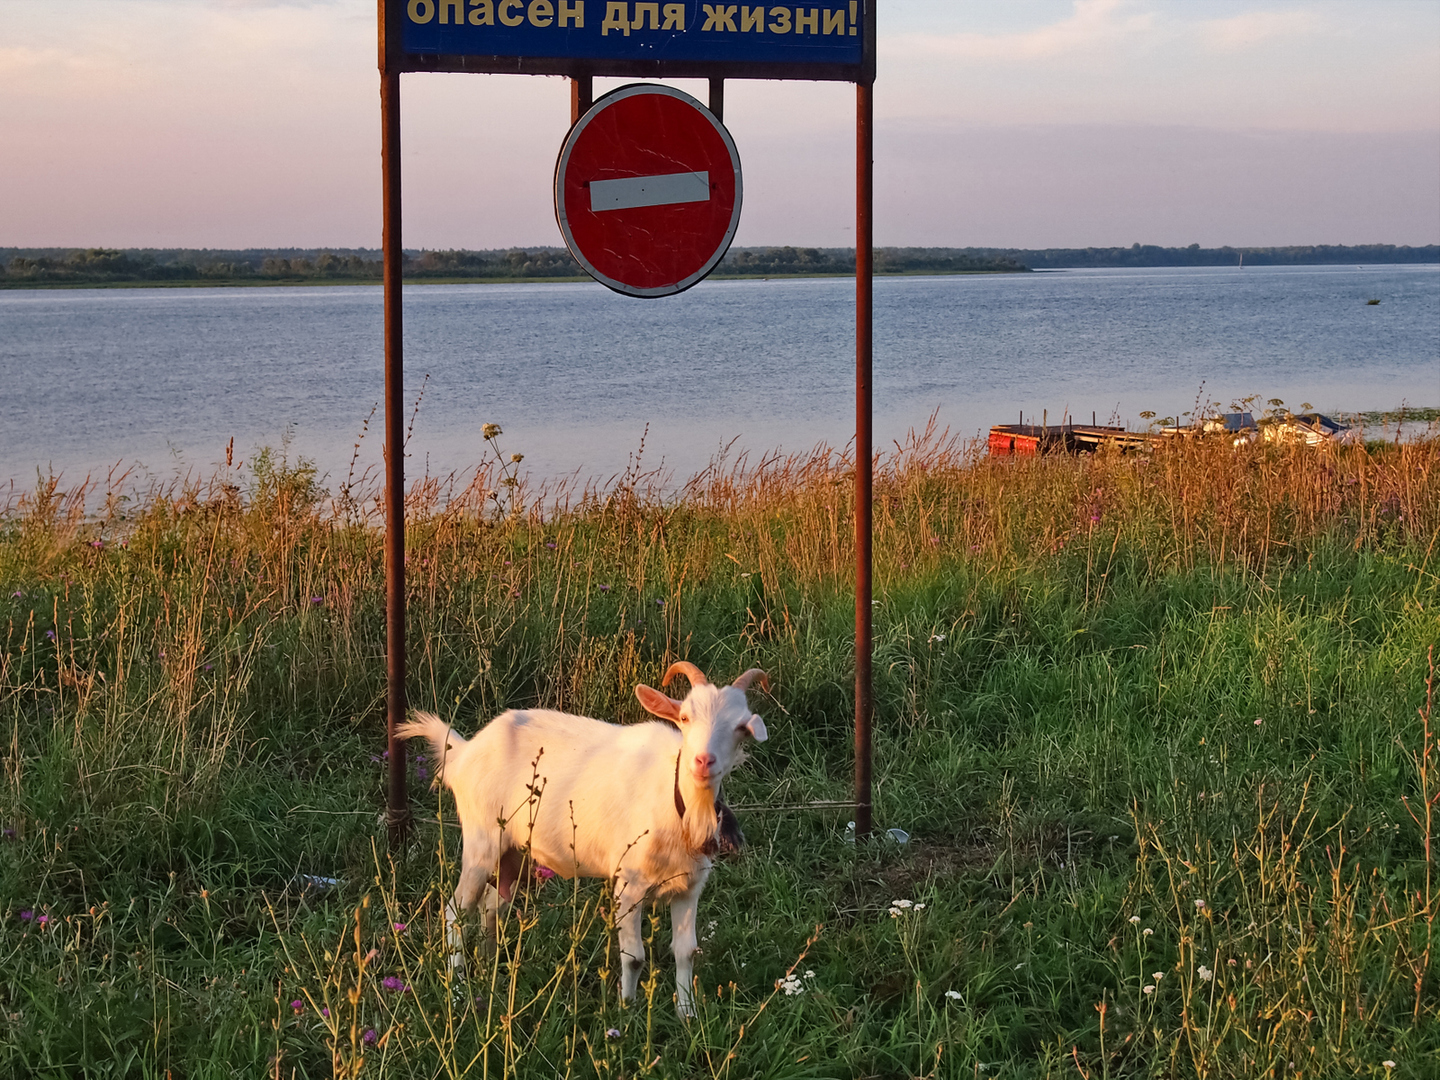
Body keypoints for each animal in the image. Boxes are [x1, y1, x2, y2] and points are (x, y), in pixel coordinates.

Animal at [394, 665, 771, 1019]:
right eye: (684, 717)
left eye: (741, 728)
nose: (703, 761)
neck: (676, 802)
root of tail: (464, 751)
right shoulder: (628, 884)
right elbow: (634, 957)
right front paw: (626, 1013)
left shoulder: (689, 887)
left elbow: (686, 952)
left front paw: (687, 1015)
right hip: (481, 840)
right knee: (455, 912)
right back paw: (459, 990)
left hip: (513, 852)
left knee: (493, 904)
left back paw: (489, 969)